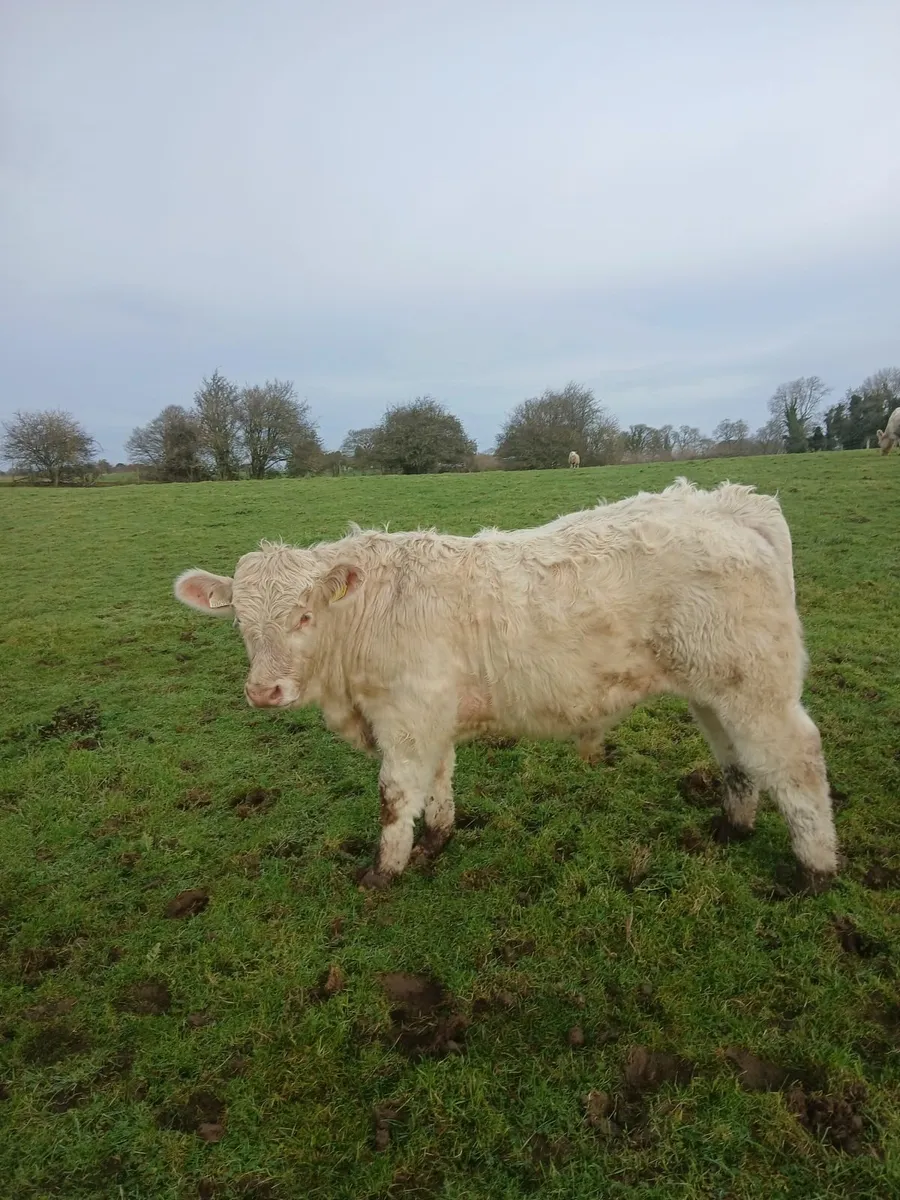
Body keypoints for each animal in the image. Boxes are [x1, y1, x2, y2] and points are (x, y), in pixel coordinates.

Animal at [173, 478, 838, 893]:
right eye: (238, 621)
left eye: (303, 617)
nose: (263, 692)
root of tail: (728, 502)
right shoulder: (431, 718)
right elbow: (438, 784)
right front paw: (436, 839)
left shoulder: (406, 721)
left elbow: (394, 795)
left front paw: (384, 872)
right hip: (714, 688)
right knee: (738, 757)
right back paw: (732, 827)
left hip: (757, 685)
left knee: (796, 758)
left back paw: (816, 870)